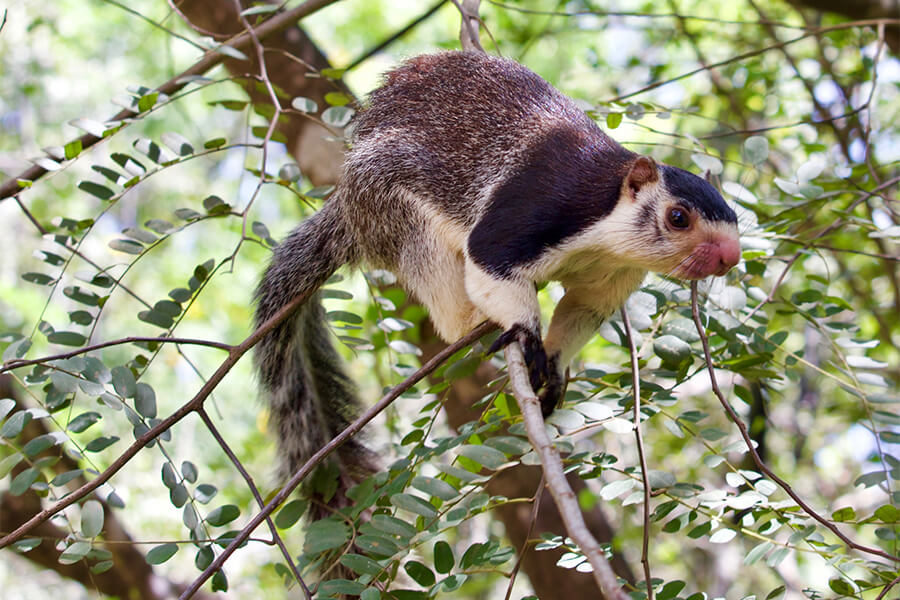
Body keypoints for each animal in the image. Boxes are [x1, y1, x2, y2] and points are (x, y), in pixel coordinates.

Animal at [254, 51, 740, 513]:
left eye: (736, 218)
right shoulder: (543, 209)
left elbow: (581, 308)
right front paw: (525, 334)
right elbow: (489, 259)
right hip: (394, 209)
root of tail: (348, 211)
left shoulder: (612, 279)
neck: (605, 230)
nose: (730, 257)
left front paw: (555, 367)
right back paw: (473, 321)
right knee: (447, 304)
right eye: (678, 217)